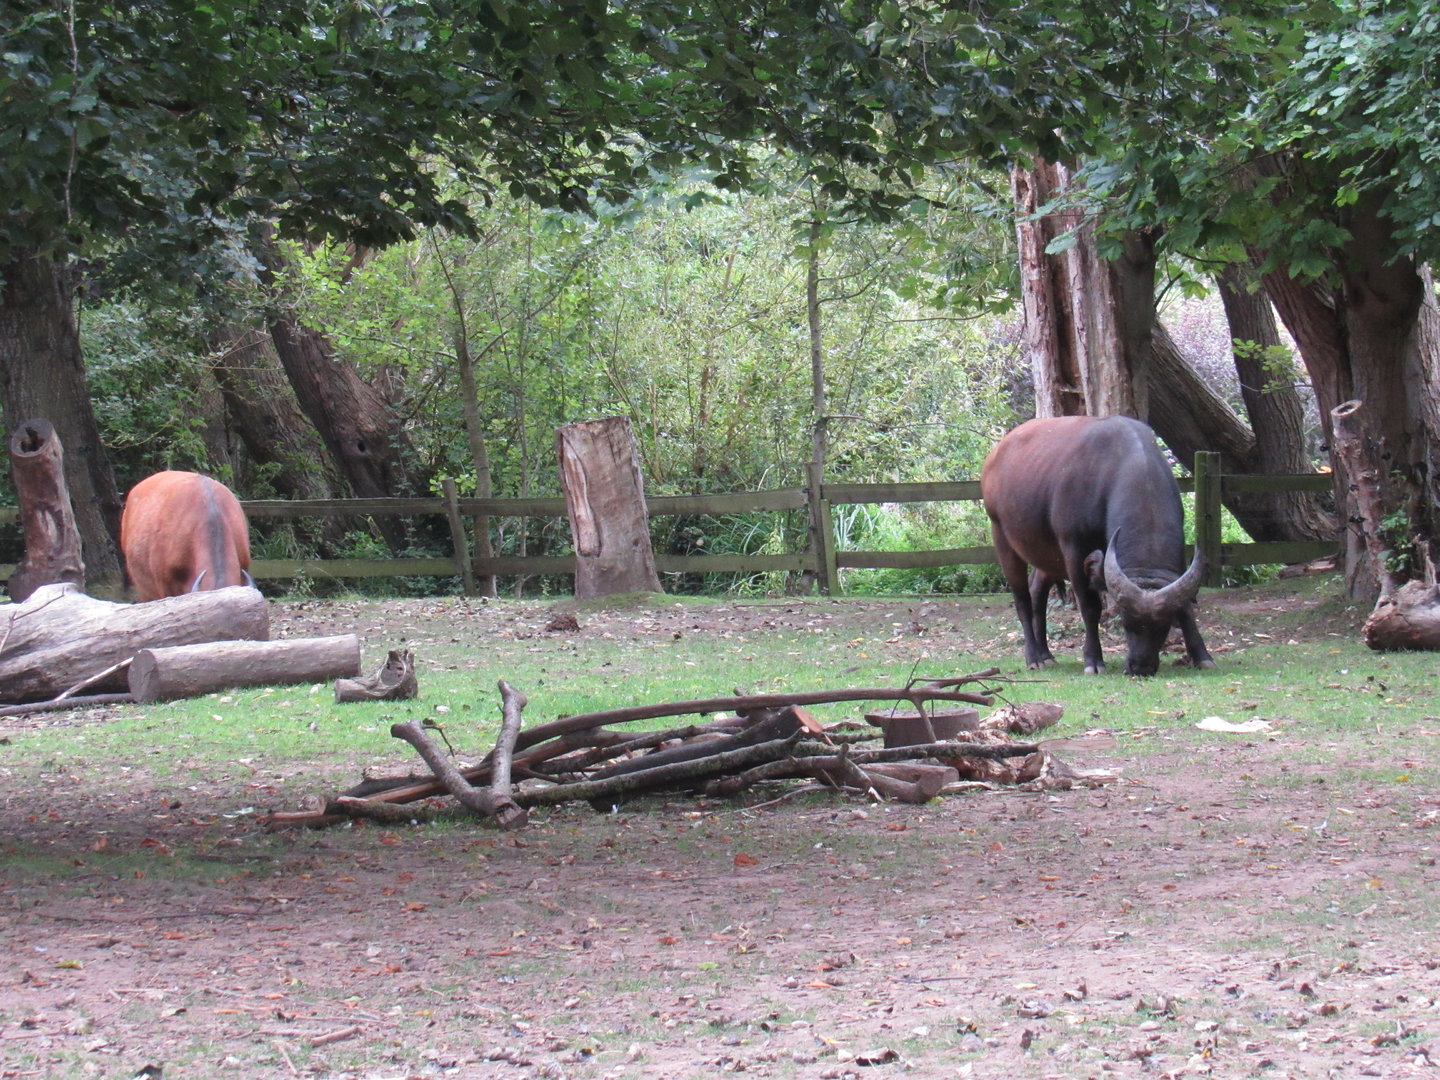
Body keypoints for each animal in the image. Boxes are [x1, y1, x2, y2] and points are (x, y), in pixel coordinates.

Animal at [980, 416, 1214, 676]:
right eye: (1125, 621)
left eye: (1165, 624)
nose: (1140, 667)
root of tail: (995, 456)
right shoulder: (1074, 550)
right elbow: (1090, 608)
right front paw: (1093, 660)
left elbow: (1186, 607)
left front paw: (1202, 655)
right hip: (1003, 539)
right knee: (1022, 599)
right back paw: (1034, 657)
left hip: (1047, 555)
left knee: (1037, 591)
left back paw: (1046, 654)